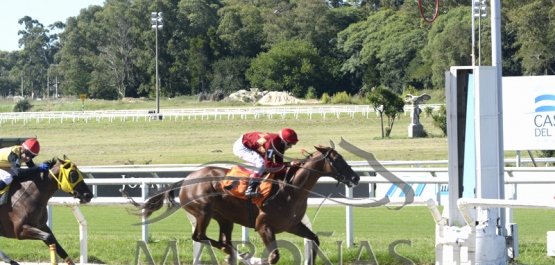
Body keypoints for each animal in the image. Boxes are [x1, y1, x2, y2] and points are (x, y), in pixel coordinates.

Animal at [125, 145, 360, 262]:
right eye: (337, 160)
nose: (356, 177)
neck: (291, 189)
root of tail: (186, 179)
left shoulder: (293, 225)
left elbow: (314, 239)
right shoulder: (263, 226)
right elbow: (273, 256)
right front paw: (257, 259)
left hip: (224, 218)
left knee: (222, 239)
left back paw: (235, 253)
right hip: (202, 212)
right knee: (199, 236)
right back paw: (240, 254)